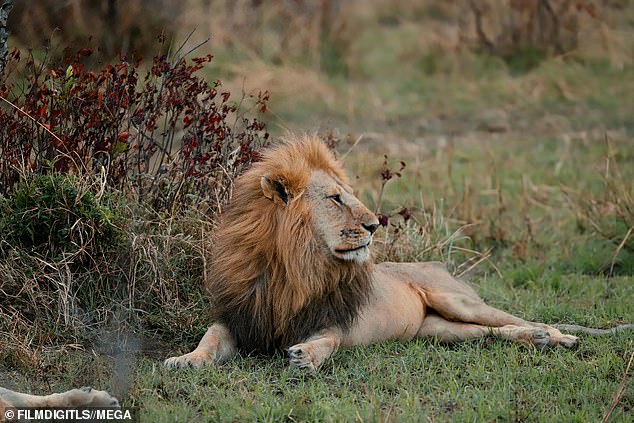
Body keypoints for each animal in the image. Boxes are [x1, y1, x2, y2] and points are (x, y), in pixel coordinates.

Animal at [163, 135, 624, 372]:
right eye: (335, 199)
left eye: (349, 194)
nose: (374, 225)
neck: (292, 267)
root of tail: (435, 263)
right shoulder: (241, 317)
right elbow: (209, 338)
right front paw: (184, 360)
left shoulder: (333, 320)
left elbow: (326, 342)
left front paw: (305, 357)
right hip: (441, 331)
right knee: (491, 334)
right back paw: (539, 340)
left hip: (457, 301)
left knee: (524, 319)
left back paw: (559, 337)